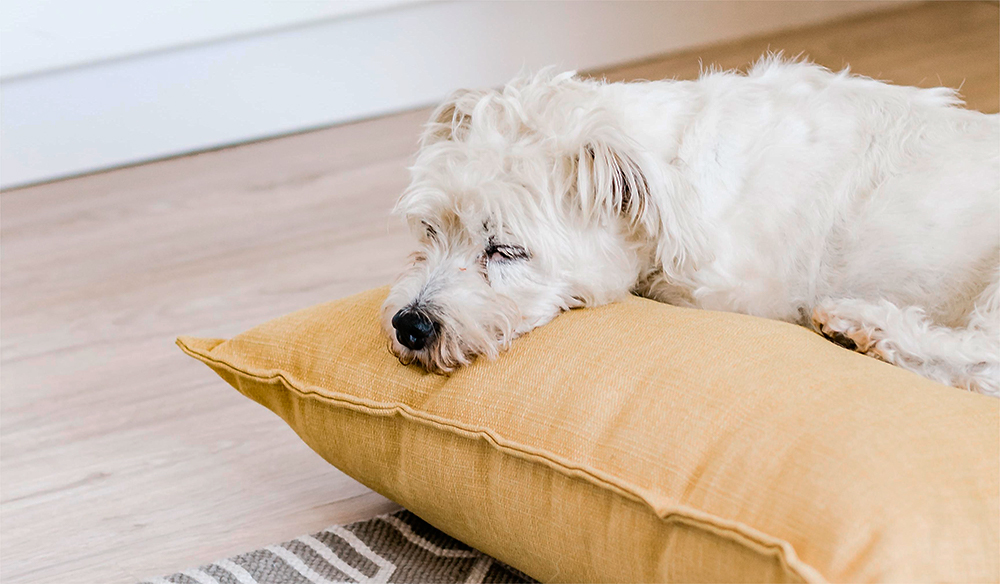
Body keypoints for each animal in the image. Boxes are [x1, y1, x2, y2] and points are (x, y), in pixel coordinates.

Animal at [380, 58, 1000, 396]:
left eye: (506, 250)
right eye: (430, 232)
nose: (410, 325)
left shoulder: (741, 296)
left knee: (981, 358)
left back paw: (861, 323)